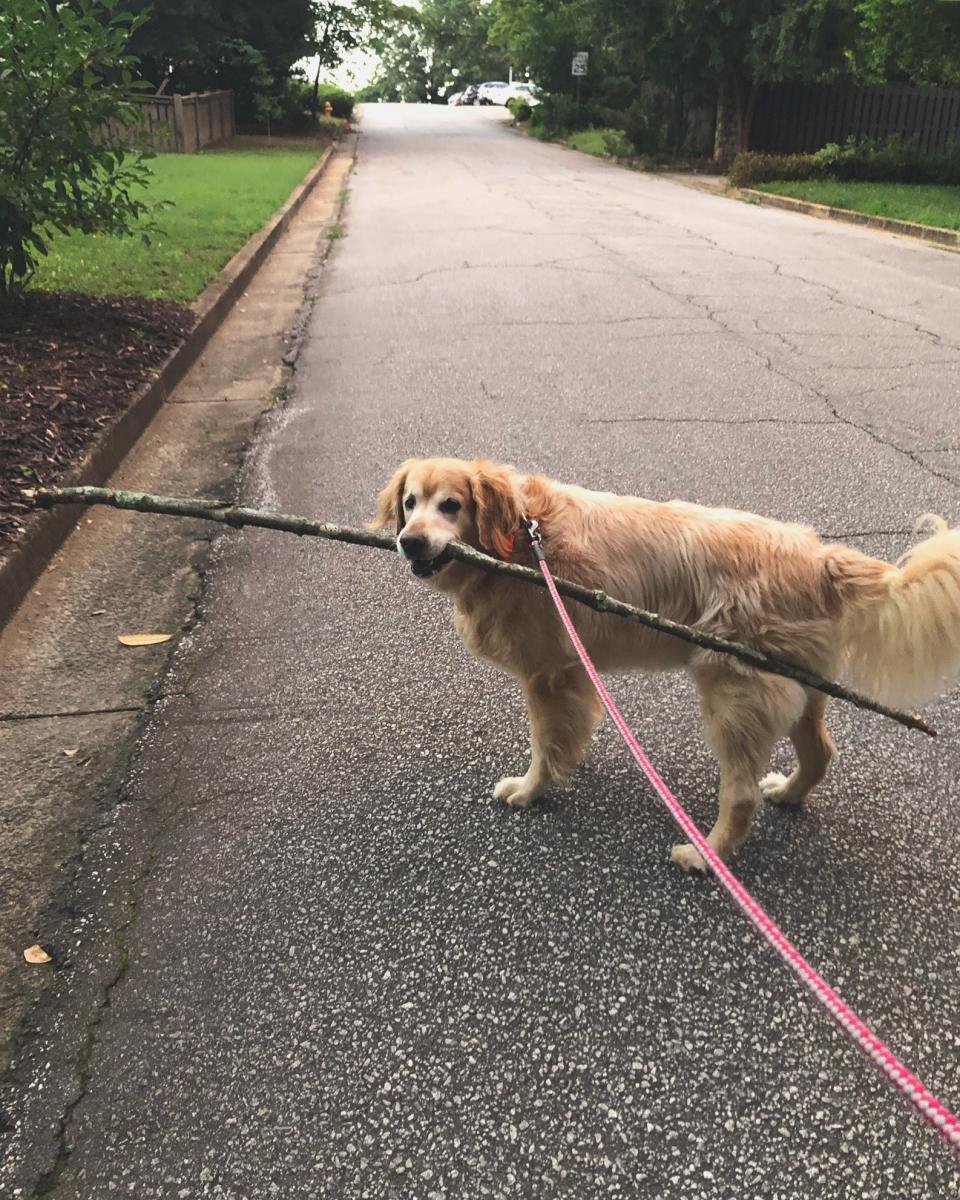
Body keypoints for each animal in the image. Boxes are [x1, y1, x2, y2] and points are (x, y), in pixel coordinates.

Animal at [369, 456, 960, 873]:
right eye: (410, 502)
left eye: (451, 505)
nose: (409, 541)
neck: (518, 537)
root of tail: (819, 558)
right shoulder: (574, 673)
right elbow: (567, 736)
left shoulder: (547, 674)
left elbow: (543, 744)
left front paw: (529, 790)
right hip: (798, 685)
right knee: (820, 754)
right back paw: (789, 794)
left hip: (733, 693)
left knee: (740, 795)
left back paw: (705, 856)